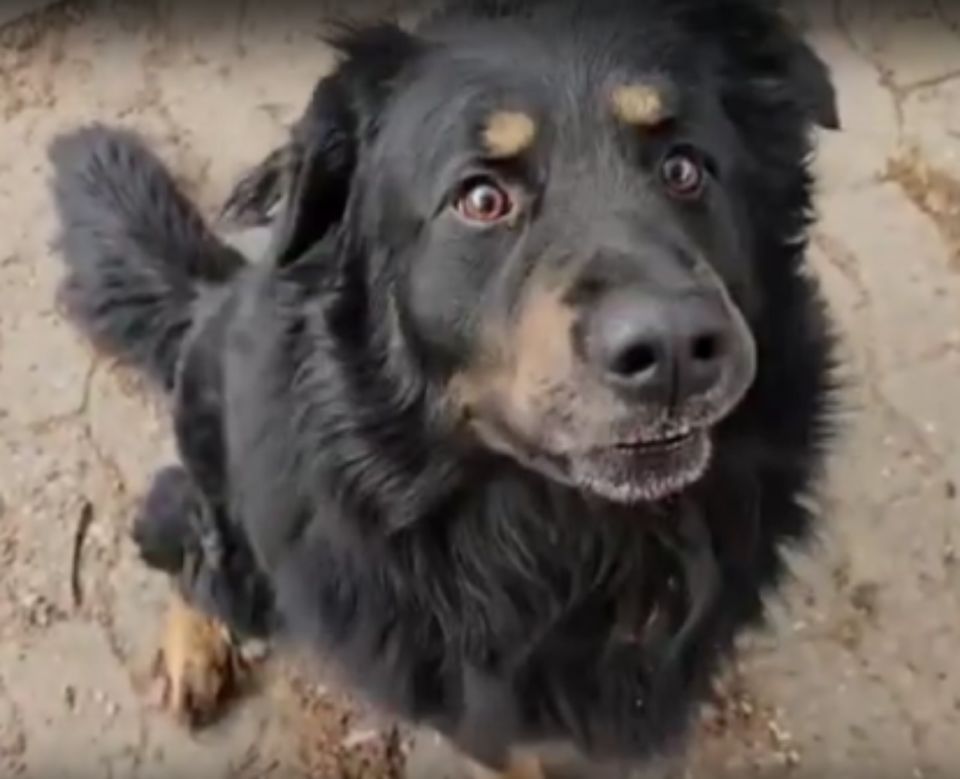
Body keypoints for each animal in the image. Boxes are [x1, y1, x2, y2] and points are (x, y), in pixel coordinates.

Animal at [48, 3, 840, 776]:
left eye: (684, 169)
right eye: (482, 198)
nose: (676, 349)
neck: (571, 537)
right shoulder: (486, 715)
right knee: (179, 532)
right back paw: (196, 646)